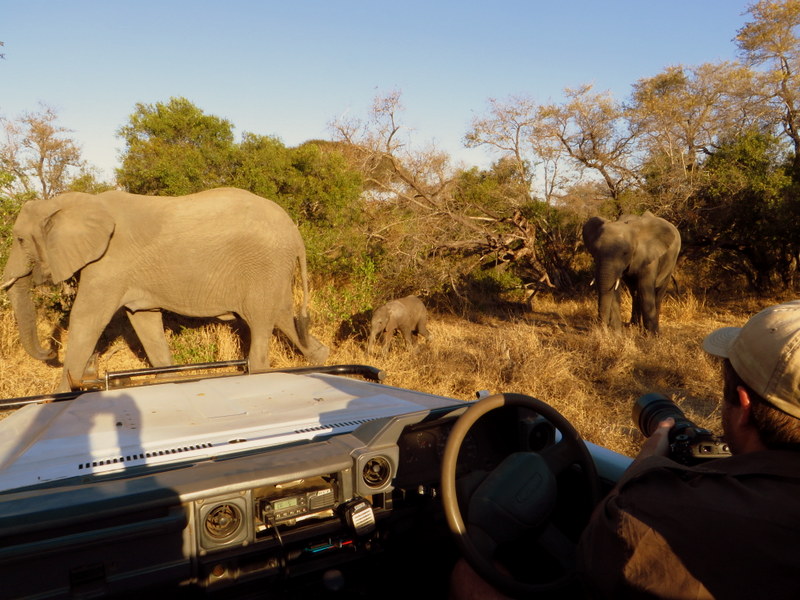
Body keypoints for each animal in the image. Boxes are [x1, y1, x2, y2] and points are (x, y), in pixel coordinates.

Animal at [1, 187, 329, 391]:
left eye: (19, 240)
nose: (48, 350)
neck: (71, 202)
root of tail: (295, 232)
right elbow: (143, 319)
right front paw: (167, 378)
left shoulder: (109, 263)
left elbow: (86, 318)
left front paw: (58, 395)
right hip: (273, 270)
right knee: (282, 315)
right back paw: (321, 359)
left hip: (264, 264)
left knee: (261, 321)